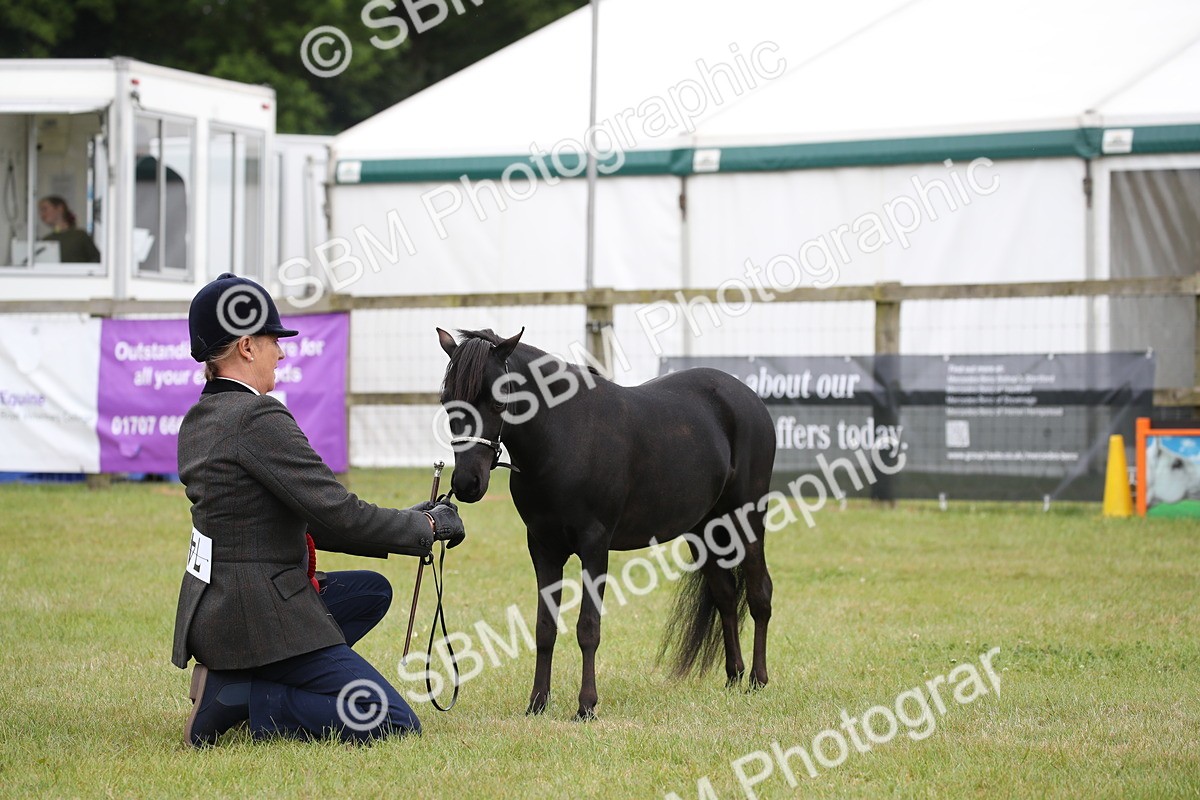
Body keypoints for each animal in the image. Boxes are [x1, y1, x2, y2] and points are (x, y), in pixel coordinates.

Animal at [436, 327, 776, 719]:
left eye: (498, 400)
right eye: (447, 401)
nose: (467, 484)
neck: (564, 438)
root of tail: (747, 397)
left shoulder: (595, 547)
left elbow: (588, 627)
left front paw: (586, 706)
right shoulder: (543, 548)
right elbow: (544, 627)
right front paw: (537, 702)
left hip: (748, 519)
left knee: (759, 594)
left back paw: (758, 680)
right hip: (704, 529)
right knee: (725, 595)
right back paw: (734, 677)